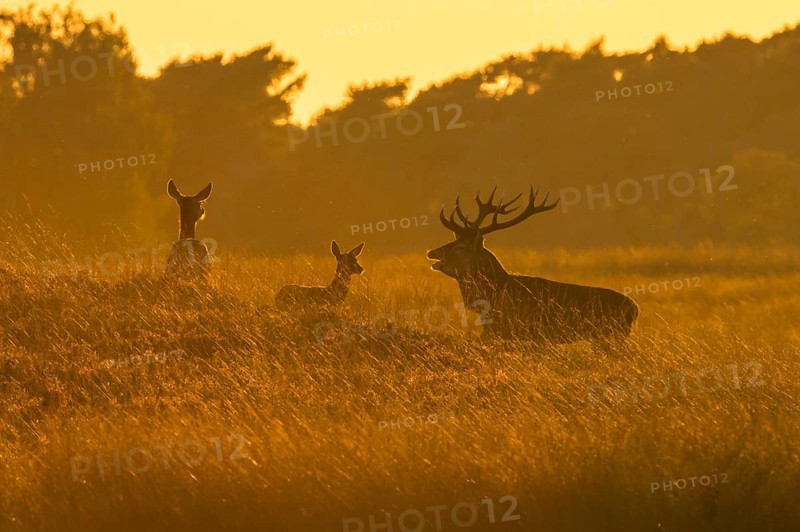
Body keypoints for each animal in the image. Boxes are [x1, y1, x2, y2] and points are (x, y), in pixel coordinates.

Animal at [427, 186, 638, 348]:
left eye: (461, 247)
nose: (431, 252)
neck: (493, 293)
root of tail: (635, 309)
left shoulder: (518, 330)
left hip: (611, 335)